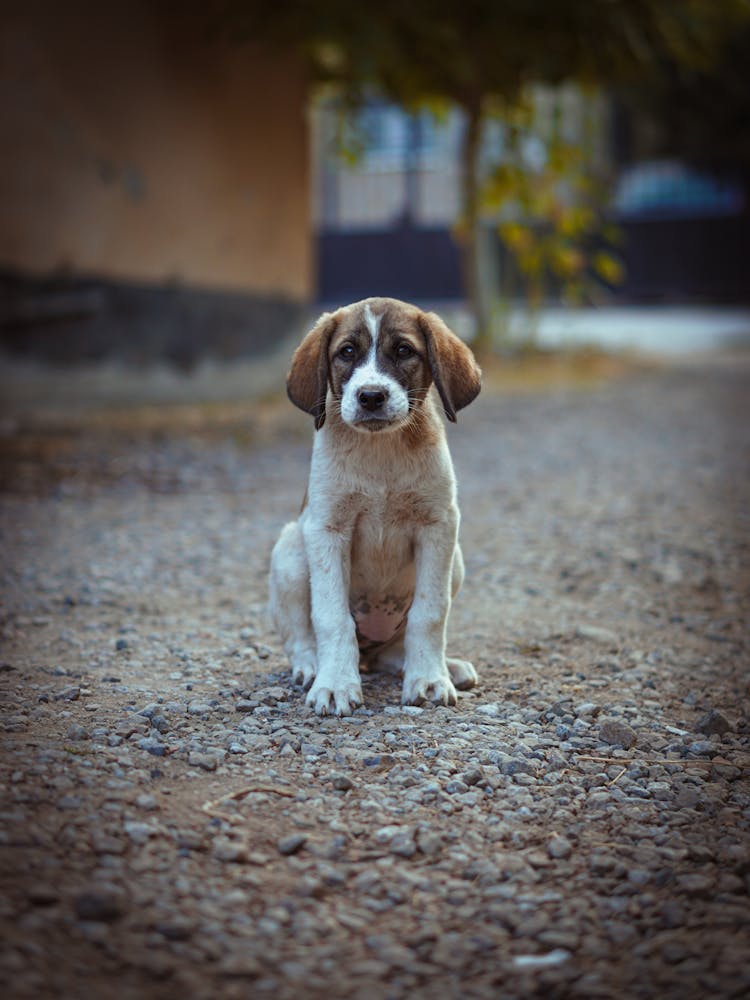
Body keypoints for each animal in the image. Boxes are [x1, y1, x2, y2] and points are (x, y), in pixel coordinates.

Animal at [270, 292, 482, 716]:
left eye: (403, 350)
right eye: (347, 352)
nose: (371, 396)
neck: (380, 452)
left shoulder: (438, 526)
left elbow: (430, 613)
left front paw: (429, 679)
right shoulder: (327, 528)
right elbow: (331, 617)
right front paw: (335, 684)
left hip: (455, 561)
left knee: (393, 649)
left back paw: (441, 665)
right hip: (291, 551)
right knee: (300, 637)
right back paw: (311, 667)